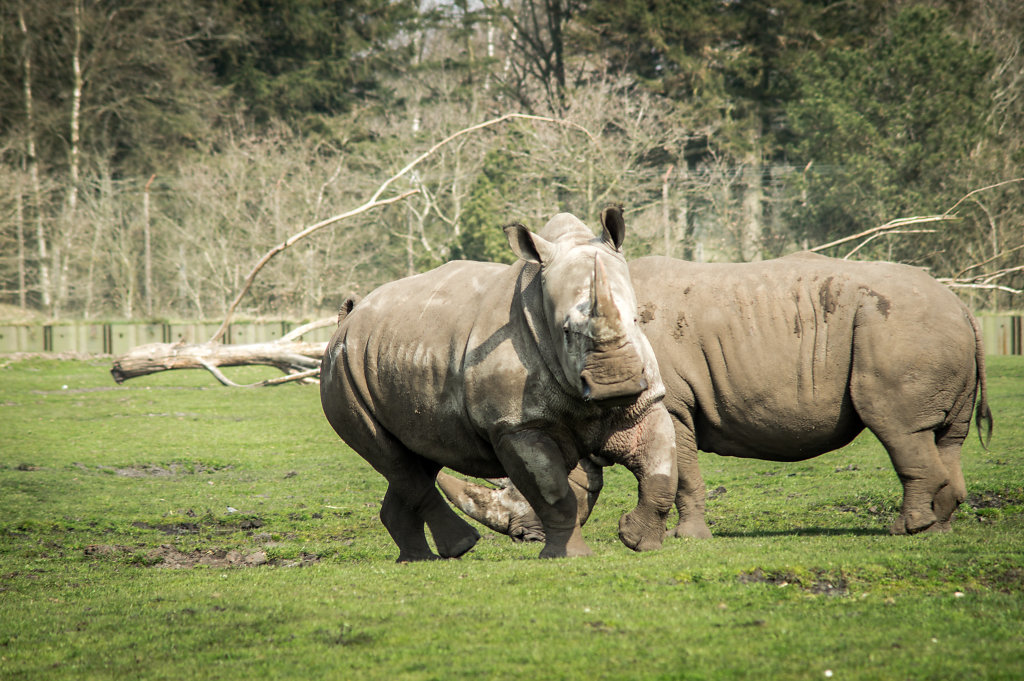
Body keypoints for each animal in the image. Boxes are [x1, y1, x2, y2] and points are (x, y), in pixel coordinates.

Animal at [320, 208, 677, 560]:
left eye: (635, 320)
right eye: (565, 331)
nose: (616, 384)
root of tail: (347, 322)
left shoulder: (645, 401)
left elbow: (661, 471)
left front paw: (639, 541)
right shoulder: (517, 425)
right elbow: (554, 494)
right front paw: (570, 557)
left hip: (396, 355)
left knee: (419, 454)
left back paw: (418, 559)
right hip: (343, 371)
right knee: (393, 458)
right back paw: (460, 546)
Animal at [439, 251, 993, 540]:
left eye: (520, 491)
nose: (524, 538)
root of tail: (962, 305)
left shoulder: (671, 403)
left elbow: (680, 470)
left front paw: (681, 539)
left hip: (898, 328)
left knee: (899, 428)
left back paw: (906, 530)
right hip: (927, 328)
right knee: (945, 436)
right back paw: (938, 529)